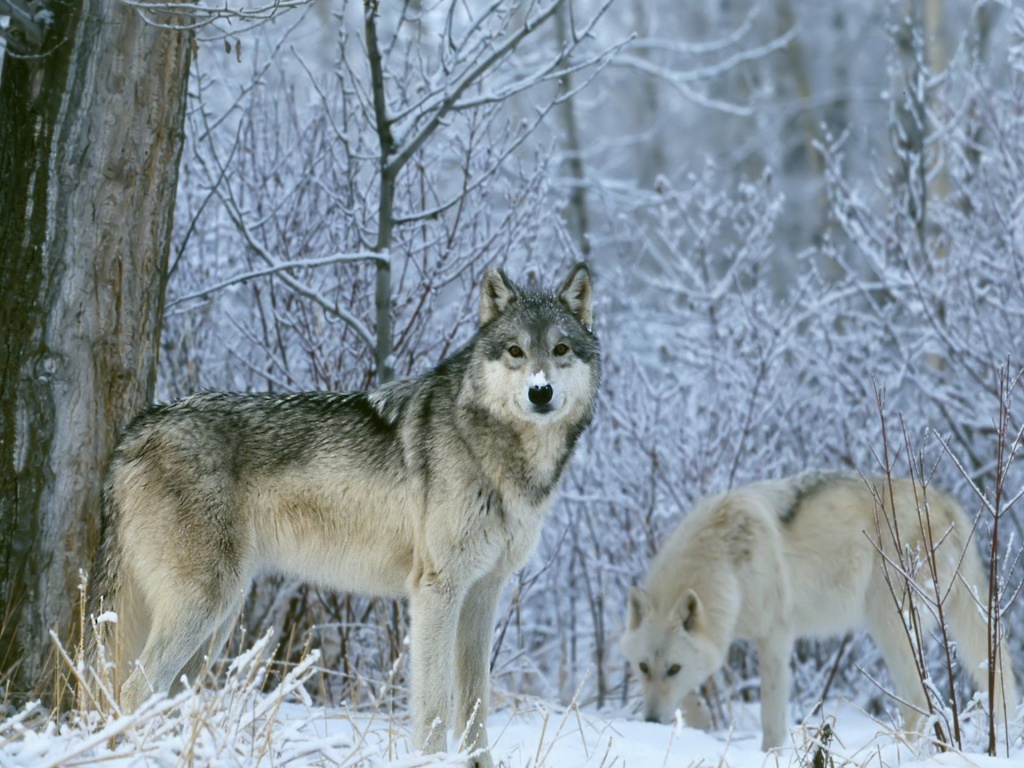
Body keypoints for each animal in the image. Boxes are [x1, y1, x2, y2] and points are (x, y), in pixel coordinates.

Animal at [86, 263, 599, 766]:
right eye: (515, 351)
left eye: (560, 349)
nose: (540, 391)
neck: (498, 454)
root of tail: (136, 429)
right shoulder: (436, 590)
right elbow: (434, 704)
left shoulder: (483, 594)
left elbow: (475, 707)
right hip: (204, 606)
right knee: (133, 690)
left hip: (218, 622)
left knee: (165, 698)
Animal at [620, 472, 1019, 750]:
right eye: (642, 667)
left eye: (673, 668)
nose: (650, 720)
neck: (725, 561)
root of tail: (947, 503)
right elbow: (691, 698)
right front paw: (699, 725)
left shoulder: (775, 638)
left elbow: (771, 718)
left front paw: (769, 755)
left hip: (888, 624)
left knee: (918, 703)